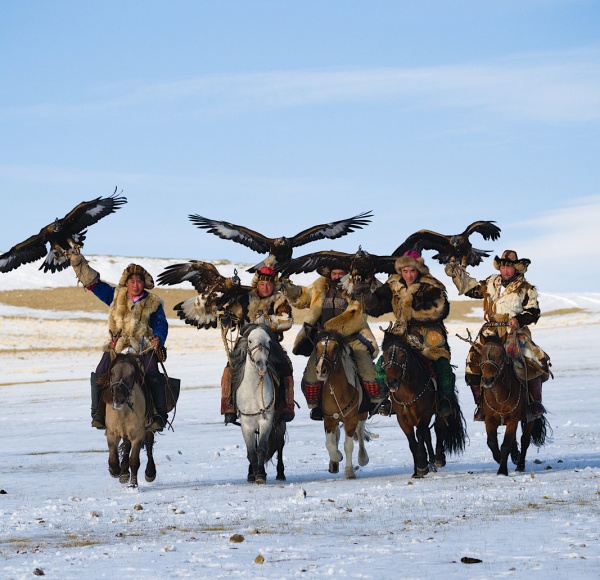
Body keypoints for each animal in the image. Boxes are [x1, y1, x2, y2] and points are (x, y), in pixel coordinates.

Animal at [99, 354, 156, 490]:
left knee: (149, 445)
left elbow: (134, 460)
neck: (123, 412)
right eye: (112, 372)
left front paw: (133, 485)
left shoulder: (138, 435)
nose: (118, 399)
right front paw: (115, 471)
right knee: (126, 445)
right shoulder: (112, 433)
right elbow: (113, 457)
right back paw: (123, 473)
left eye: (132, 374)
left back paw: (150, 473)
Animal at [231, 324, 288, 482]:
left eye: (269, 341)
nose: (262, 363)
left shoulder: (266, 421)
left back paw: (280, 473)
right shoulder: (246, 424)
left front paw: (261, 475)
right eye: (250, 341)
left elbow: (262, 448)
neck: (254, 391)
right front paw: (254, 473)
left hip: (280, 421)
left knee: (280, 445)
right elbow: (251, 450)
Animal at [312, 330, 368, 480]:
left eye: (335, 347)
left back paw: (363, 457)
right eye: (317, 347)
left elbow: (348, 445)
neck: (338, 391)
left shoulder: (351, 420)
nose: (320, 370)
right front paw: (337, 457)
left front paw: (349, 472)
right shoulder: (329, 420)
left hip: (362, 415)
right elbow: (329, 444)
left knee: (360, 433)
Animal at [380, 334, 468, 478]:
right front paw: (417, 470)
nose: (391, 382)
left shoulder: (425, 414)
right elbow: (412, 441)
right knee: (428, 434)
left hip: (439, 410)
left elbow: (420, 434)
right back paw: (431, 462)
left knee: (438, 428)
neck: (408, 392)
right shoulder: (402, 418)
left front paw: (422, 465)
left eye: (402, 355)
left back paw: (438, 458)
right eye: (384, 356)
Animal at [468, 330, 548, 476]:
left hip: (529, 419)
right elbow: (492, 442)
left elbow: (506, 444)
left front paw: (502, 471)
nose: (487, 380)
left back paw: (520, 465)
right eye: (481, 355)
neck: (500, 397)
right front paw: (499, 459)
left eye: (500, 355)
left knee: (524, 440)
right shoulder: (489, 419)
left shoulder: (513, 419)